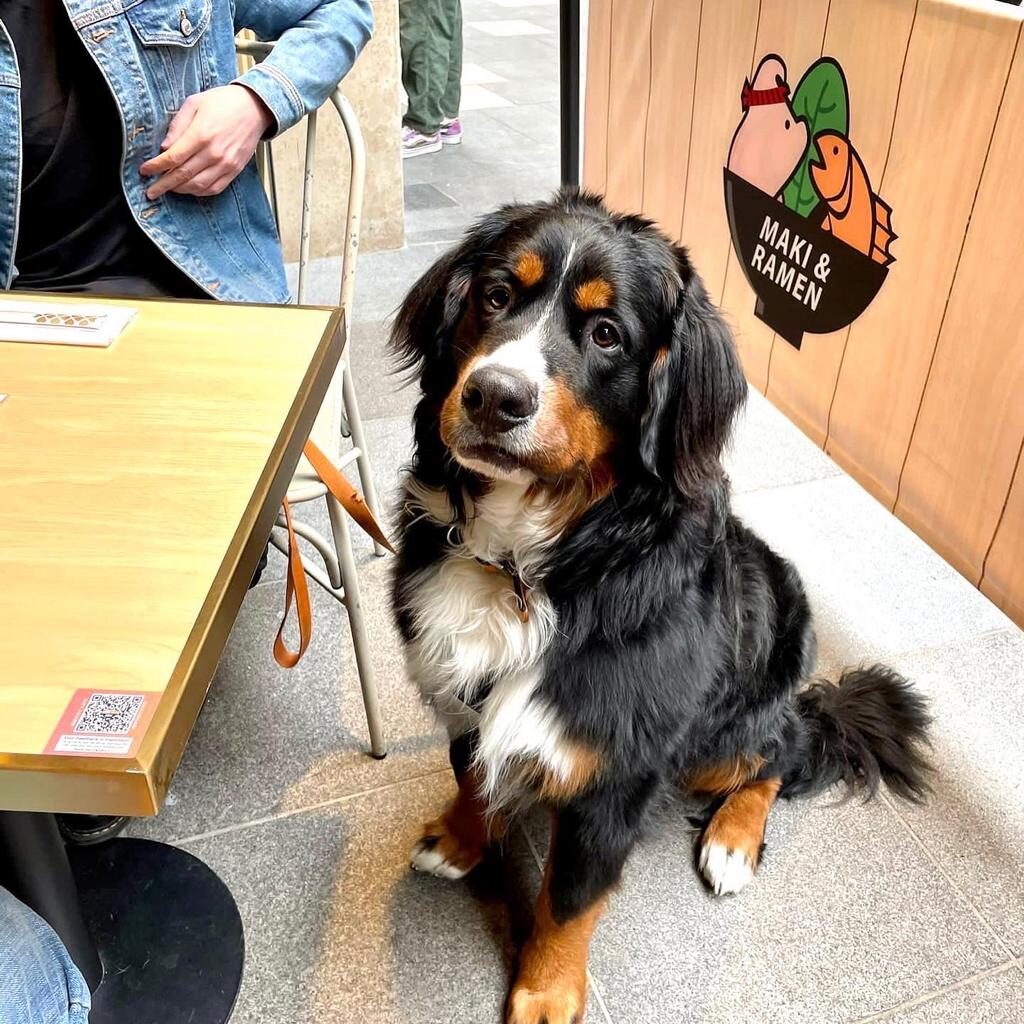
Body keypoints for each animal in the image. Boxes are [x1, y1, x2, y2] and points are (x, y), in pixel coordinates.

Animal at [387, 192, 933, 1024]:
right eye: (496, 296)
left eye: (607, 334)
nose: (493, 396)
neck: (533, 564)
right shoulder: (464, 698)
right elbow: (473, 780)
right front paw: (459, 840)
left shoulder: (613, 769)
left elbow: (568, 904)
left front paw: (545, 996)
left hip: (725, 737)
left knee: (782, 752)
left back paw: (733, 842)